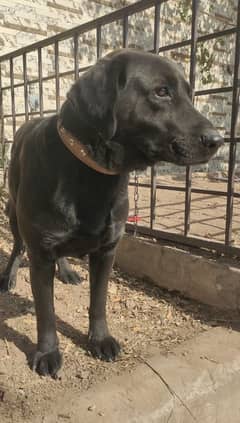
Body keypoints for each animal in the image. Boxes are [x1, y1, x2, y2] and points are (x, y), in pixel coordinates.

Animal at [0, 48, 223, 378]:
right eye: (161, 92)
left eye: (189, 93)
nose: (217, 141)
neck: (92, 174)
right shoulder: (41, 254)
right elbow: (46, 312)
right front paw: (47, 352)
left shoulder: (107, 251)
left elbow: (99, 300)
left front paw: (100, 339)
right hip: (14, 212)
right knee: (17, 246)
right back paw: (9, 276)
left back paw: (66, 270)